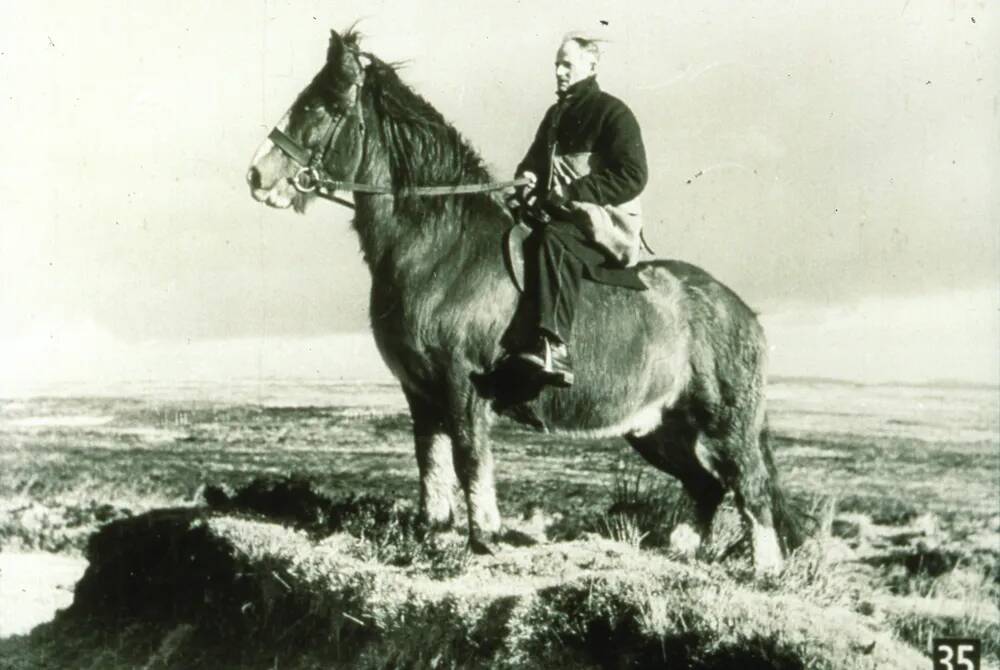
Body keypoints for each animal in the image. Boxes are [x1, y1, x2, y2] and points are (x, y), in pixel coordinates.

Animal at [246, 28, 800, 576]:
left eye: (321, 105)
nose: (257, 175)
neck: (441, 248)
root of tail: (745, 314)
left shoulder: (462, 384)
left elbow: (470, 458)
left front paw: (485, 538)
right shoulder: (421, 391)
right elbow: (431, 463)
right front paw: (437, 537)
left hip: (725, 422)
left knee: (750, 486)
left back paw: (765, 571)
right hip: (658, 428)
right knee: (705, 485)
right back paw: (681, 553)